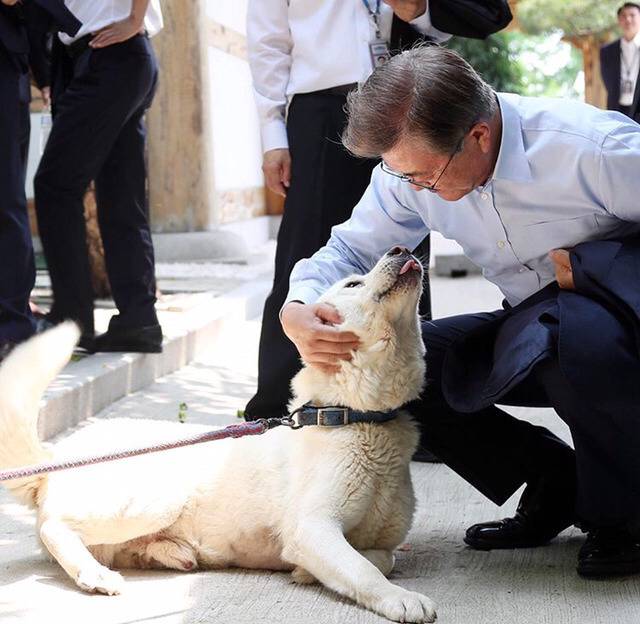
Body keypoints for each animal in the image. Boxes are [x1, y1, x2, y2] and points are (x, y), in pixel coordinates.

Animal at [0, 249, 436, 624]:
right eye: (352, 283)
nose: (401, 248)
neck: (354, 416)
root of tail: (57, 456)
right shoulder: (312, 529)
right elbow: (364, 570)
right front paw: (401, 599)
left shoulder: (375, 542)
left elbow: (380, 559)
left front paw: (306, 573)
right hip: (160, 497)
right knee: (53, 526)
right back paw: (95, 574)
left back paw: (164, 553)